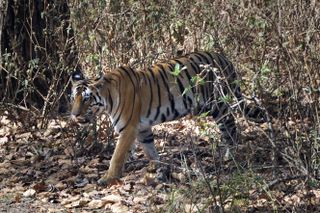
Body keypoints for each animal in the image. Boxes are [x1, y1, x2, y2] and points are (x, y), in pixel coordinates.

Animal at [70, 50, 262, 186]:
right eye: (73, 98)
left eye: (86, 99)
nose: (74, 115)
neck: (108, 99)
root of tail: (224, 58)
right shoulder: (142, 128)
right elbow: (150, 150)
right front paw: (158, 169)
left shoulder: (128, 129)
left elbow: (117, 156)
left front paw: (107, 178)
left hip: (220, 106)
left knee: (231, 129)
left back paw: (232, 155)